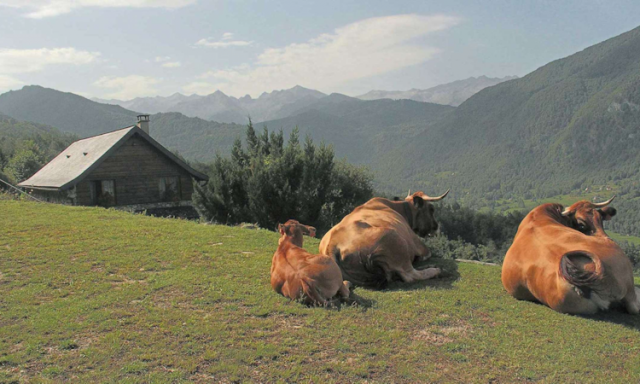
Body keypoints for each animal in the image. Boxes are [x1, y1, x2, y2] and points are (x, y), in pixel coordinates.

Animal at [318, 189, 448, 288]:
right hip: (394, 240)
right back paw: (436, 270)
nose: (437, 227)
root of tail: (331, 245)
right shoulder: (418, 244)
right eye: (431, 209)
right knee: (411, 275)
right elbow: (428, 254)